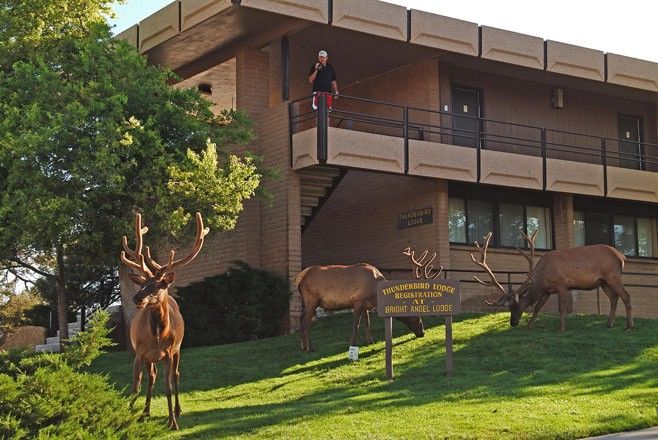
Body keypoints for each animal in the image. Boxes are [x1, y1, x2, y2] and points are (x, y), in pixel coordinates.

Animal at [120, 212, 208, 430]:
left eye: (158, 285)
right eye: (143, 283)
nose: (137, 298)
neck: (158, 337)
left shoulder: (168, 352)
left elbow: (167, 387)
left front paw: (172, 422)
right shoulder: (139, 353)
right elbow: (136, 387)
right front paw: (129, 414)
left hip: (178, 349)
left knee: (176, 375)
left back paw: (177, 410)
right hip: (150, 358)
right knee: (152, 377)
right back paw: (145, 412)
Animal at [294, 262, 426, 352]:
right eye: (416, 315)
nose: (423, 332)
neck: (375, 293)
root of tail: (300, 279)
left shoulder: (365, 305)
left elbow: (367, 323)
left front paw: (370, 342)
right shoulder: (358, 301)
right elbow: (356, 325)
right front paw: (352, 344)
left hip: (306, 302)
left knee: (301, 318)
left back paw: (302, 346)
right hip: (311, 299)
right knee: (307, 321)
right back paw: (310, 348)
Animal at [468, 232, 632, 332]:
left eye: (516, 306)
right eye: (508, 307)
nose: (513, 323)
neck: (543, 276)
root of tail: (622, 257)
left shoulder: (562, 284)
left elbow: (561, 308)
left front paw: (561, 328)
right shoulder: (547, 290)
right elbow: (537, 308)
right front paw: (529, 326)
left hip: (613, 275)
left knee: (625, 295)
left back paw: (629, 326)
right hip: (603, 282)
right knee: (614, 298)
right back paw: (609, 324)